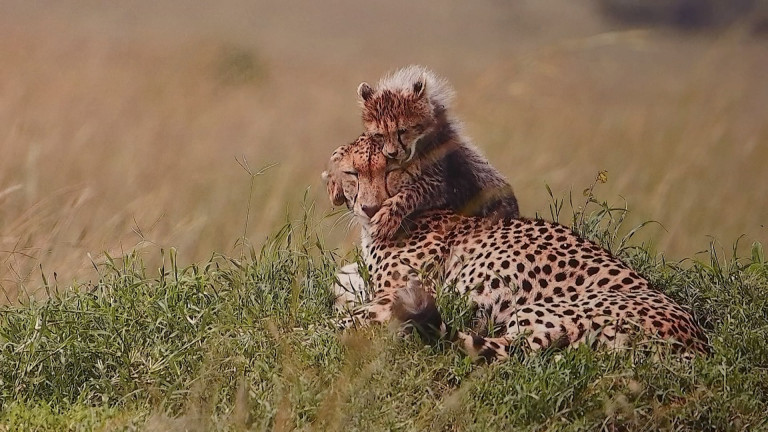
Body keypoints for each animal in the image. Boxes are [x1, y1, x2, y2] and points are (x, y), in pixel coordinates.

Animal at [322, 134, 708, 362]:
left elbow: (350, 316)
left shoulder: (405, 289)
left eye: (391, 171)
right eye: (353, 174)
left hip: (535, 310)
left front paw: (317, 333)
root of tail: (694, 343)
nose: (370, 208)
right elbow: (345, 288)